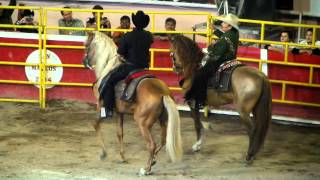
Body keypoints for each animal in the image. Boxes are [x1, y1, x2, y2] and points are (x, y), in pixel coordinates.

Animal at [82, 31, 182, 176]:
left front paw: (103, 153)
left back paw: (145, 169)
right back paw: (152, 161)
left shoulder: (101, 107)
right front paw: (122, 157)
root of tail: (162, 92)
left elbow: (95, 124)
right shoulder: (119, 112)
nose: (84, 62)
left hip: (142, 123)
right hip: (163, 120)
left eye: (86, 45)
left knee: (152, 145)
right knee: (163, 141)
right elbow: (120, 133)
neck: (108, 68)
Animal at [169, 35, 272, 165]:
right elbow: (199, 123)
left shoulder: (192, 103)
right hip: (257, 108)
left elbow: (197, 124)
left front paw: (197, 145)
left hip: (243, 111)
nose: (175, 68)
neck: (194, 67)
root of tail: (261, 76)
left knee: (252, 130)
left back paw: (249, 155)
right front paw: (206, 129)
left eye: (172, 51)